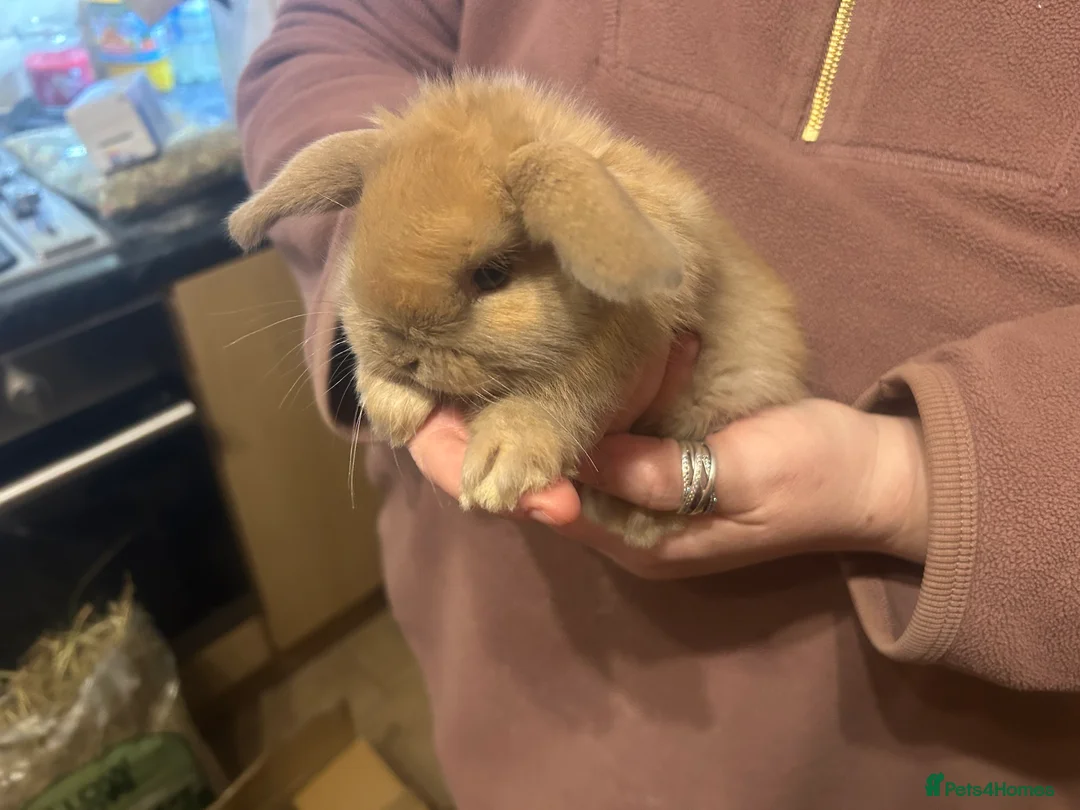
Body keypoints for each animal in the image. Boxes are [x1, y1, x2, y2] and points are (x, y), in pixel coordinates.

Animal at [227, 71, 807, 548]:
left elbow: (570, 388)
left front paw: (499, 465)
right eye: (360, 238)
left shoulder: (629, 343)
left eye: (492, 275)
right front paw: (391, 404)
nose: (403, 355)